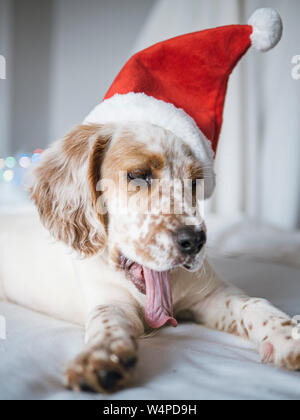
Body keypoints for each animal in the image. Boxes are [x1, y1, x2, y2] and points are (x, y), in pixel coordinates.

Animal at [0, 122, 298, 394]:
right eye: (138, 176)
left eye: (194, 183)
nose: (195, 241)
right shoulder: (110, 300)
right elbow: (107, 319)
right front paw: (102, 357)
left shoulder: (211, 294)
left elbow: (253, 304)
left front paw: (287, 334)